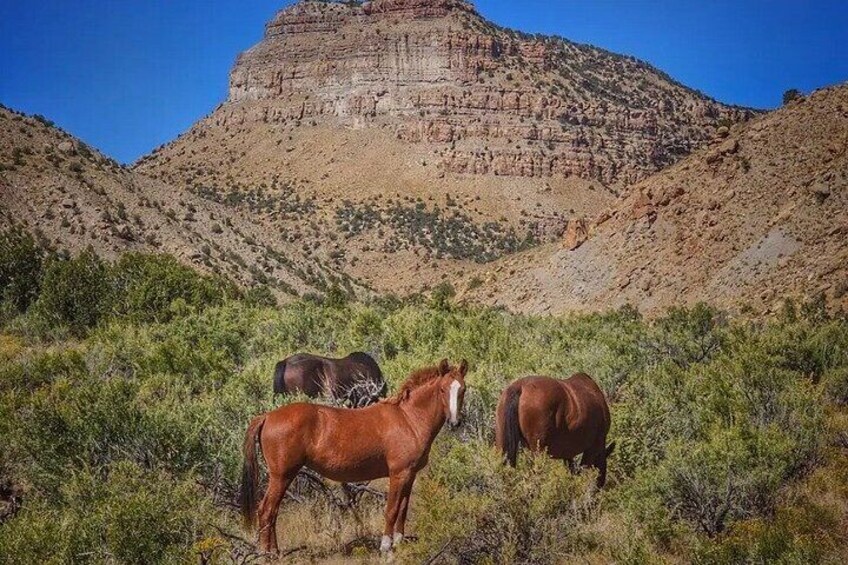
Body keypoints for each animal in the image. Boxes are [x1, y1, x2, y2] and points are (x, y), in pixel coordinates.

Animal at [241, 359, 469, 554]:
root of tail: (267, 416)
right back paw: (267, 554)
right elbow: (392, 510)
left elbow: (403, 510)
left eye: (463, 389)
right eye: (442, 389)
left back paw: (275, 551)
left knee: (272, 512)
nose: (455, 422)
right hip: (281, 476)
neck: (408, 419)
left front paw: (399, 543)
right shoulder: (398, 474)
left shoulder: (410, 475)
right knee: (266, 510)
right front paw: (385, 546)